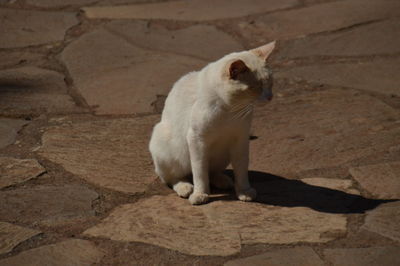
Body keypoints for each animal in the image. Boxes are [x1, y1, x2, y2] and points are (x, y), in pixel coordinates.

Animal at [148, 41, 276, 205]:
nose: (270, 97)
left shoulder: (240, 140)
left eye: (270, 83)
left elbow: (241, 169)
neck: (231, 109)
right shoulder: (197, 140)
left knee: (213, 171)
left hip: (223, 155)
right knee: (173, 178)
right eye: (256, 88)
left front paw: (244, 191)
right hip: (165, 143)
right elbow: (200, 172)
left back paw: (223, 181)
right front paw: (200, 194)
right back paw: (185, 187)